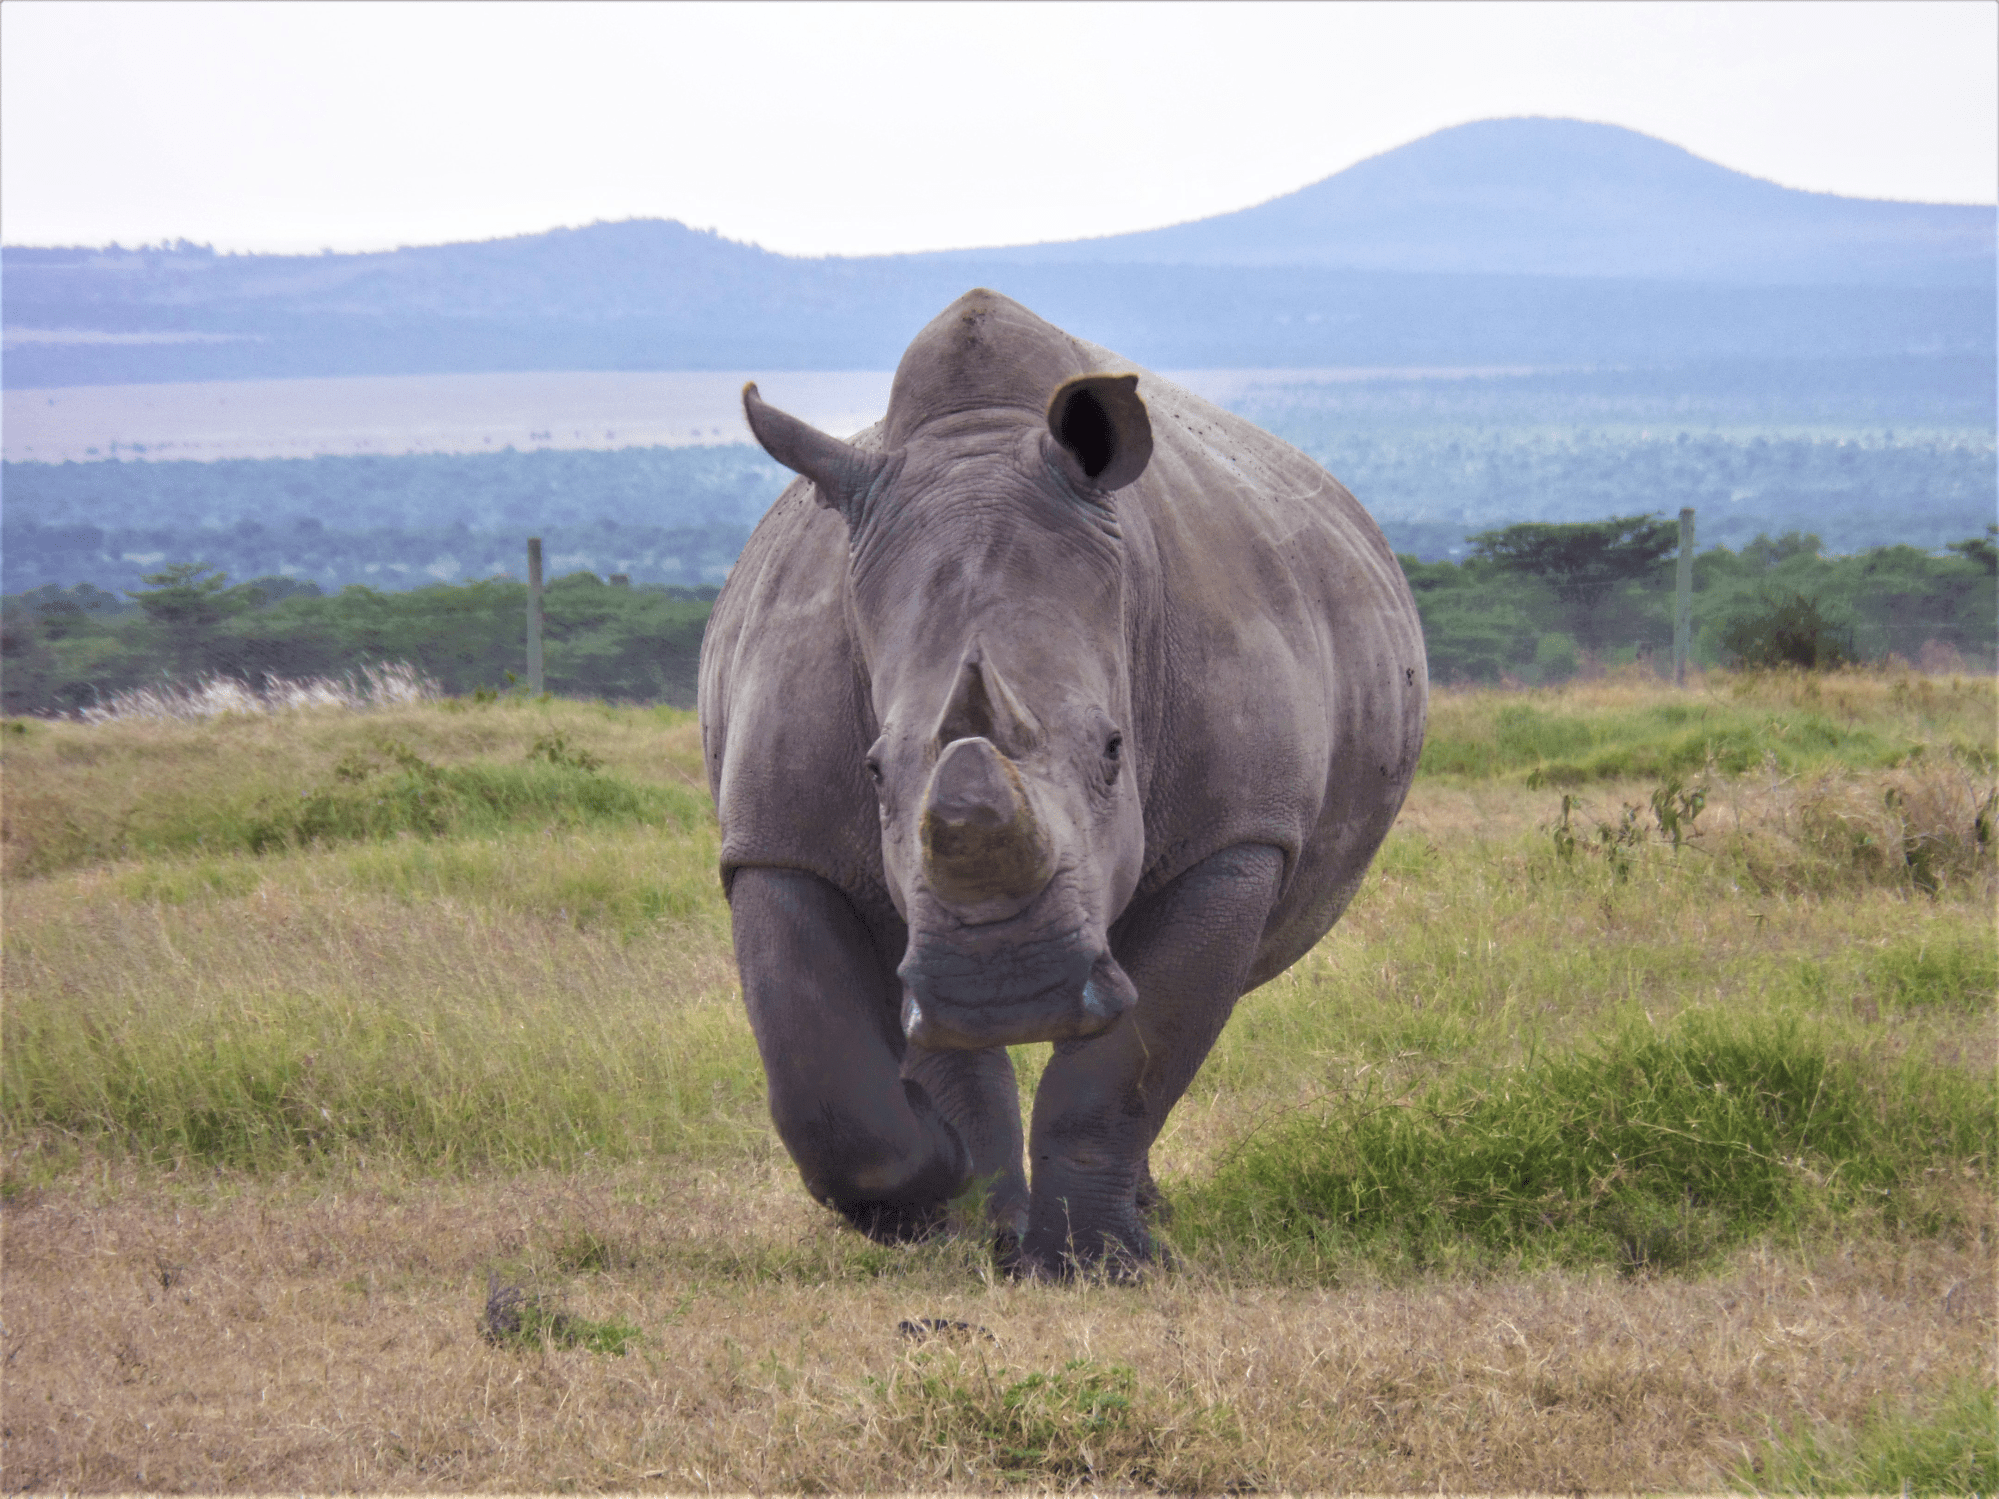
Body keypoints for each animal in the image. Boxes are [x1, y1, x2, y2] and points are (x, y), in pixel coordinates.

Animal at [698, 289, 1426, 1274]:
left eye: (1116, 749)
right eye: (874, 770)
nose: (1005, 989)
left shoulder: (1237, 835)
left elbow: (1129, 1060)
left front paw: (1099, 1263)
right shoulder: (779, 838)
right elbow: (836, 1089)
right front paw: (952, 1205)